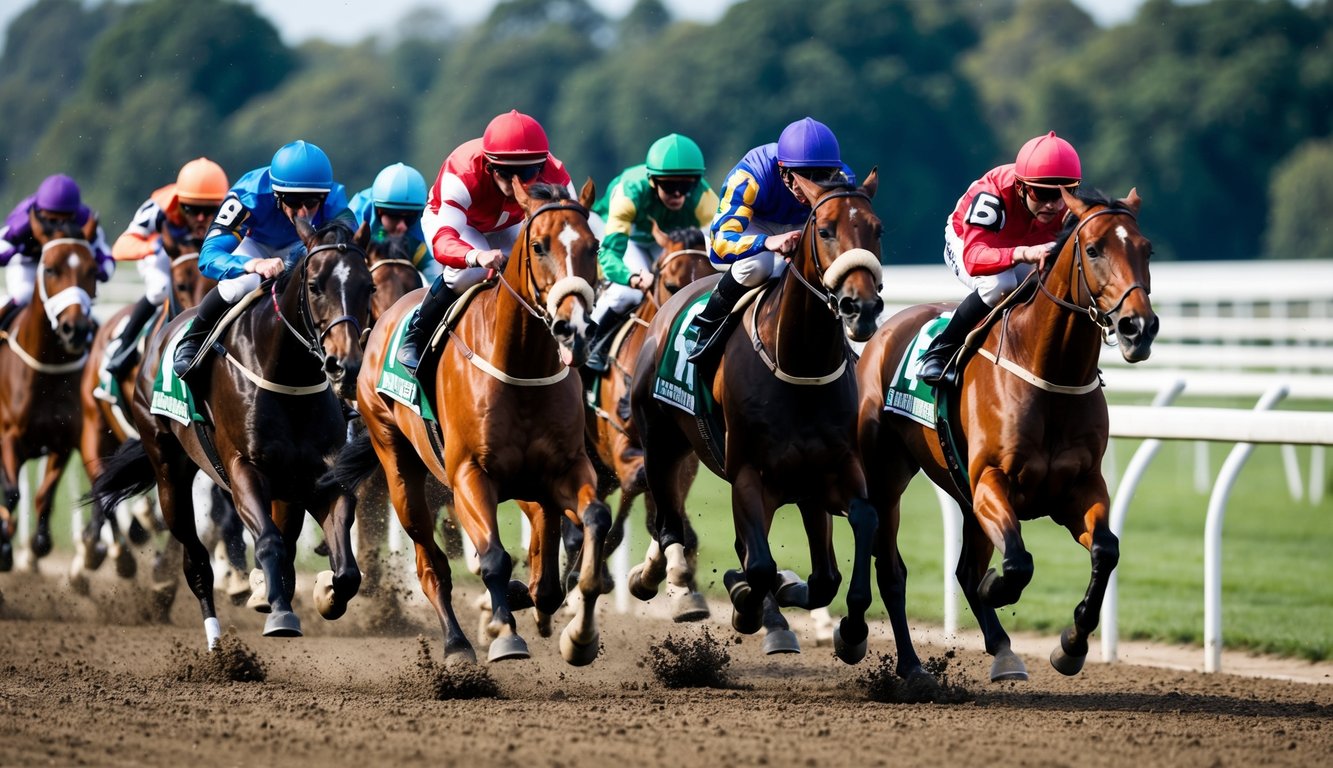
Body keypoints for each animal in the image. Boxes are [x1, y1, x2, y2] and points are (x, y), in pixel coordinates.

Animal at [0, 213, 101, 573]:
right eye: (50, 269)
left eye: (92, 270)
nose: (76, 330)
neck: (46, 370)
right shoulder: (8, 436)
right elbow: (11, 492)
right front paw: (6, 545)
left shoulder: (64, 440)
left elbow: (44, 495)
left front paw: (38, 543)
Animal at [89, 220, 373, 648]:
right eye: (314, 286)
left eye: (367, 286)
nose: (345, 365)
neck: (288, 377)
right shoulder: (243, 470)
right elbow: (269, 541)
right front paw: (280, 613)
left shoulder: (322, 478)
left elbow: (346, 571)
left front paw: (324, 593)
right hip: (168, 470)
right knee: (195, 560)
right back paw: (217, 642)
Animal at [333, 181, 610, 666]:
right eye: (538, 246)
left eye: (593, 246)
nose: (572, 328)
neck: (521, 366)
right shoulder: (468, 475)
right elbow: (493, 558)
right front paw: (504, 632)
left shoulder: (564, 468)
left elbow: (591, 522)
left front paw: (579, 634)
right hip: (399, 466)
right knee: (430, 564)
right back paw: (458, 642)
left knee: (543, 558)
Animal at [626, 172, 895, 661]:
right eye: (825, 229)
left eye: (877, 229)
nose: (861, 308)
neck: (799, 367)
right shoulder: (749, 475)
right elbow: (760, 566)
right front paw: (745, 603)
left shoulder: (832, 472)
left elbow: (843, 552)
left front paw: (849, 630)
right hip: (661, 444)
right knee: (669, 524)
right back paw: (657, 578)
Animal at [853, 189, 1157, 680]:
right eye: (1093, 250)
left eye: (1146, 250)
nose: (1139, 327)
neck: (1049, 373)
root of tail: (885, 332)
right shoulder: (992, 481)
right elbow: (1015, 564)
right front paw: (997, 589)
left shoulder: (1080, 486)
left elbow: (1105, 550)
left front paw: (1071, 645)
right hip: (888, 478)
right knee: (891, 569)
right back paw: (905, 662)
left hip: (962, 492)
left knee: (963, 569)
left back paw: (1002, 650)